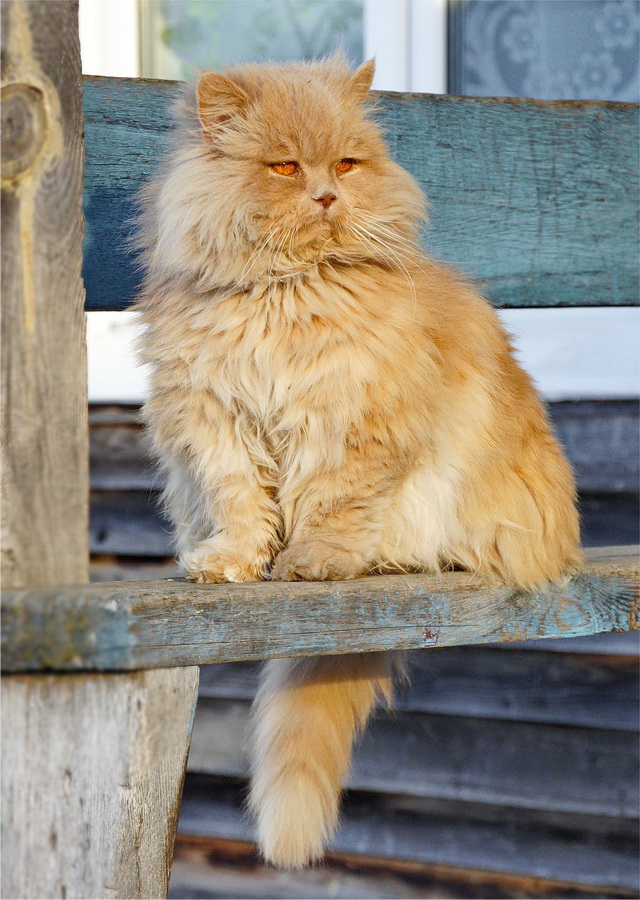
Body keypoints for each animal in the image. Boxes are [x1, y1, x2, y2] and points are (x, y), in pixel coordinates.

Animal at [138, 58, 584, 872]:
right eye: (285, 167)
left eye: (346, 164)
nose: (326, 195)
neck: (285, 290)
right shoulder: (217, 424)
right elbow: (242, 506)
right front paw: (234, 564)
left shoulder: (352, 423)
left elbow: (331, 504)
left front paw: (313, 564)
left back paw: (380, 562)